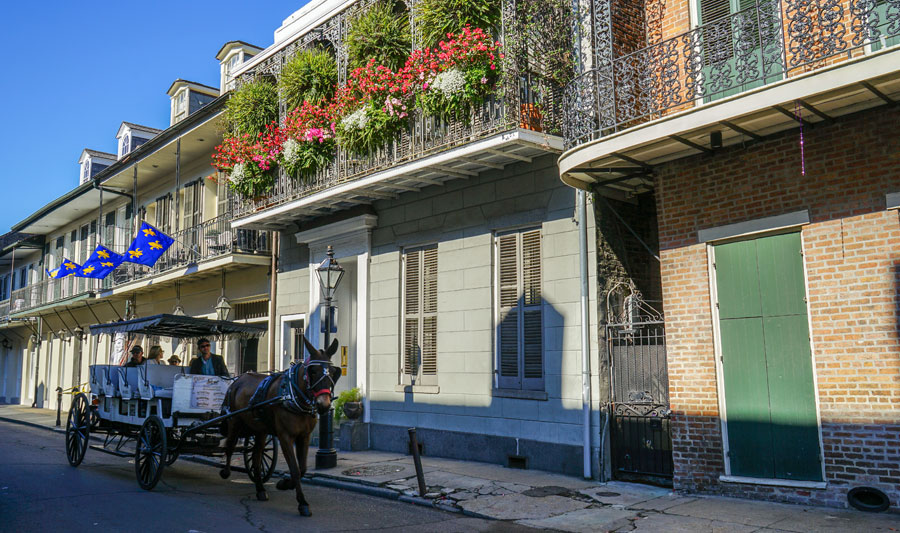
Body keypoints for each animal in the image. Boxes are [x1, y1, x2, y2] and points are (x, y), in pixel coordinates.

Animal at [219, 334, 342, 512]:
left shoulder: (304, 436)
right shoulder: (285, 436)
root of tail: (238, 379)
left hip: (260, 430)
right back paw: (226, 472)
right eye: (313, 371)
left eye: (333, 372)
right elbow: (295, 469)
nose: (324, 404)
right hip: (235, 421)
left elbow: (302, 468)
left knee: (256, 456)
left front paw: (284, 484)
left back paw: (260, 489)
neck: (293, 395)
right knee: (230, 445)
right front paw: (302, 502)